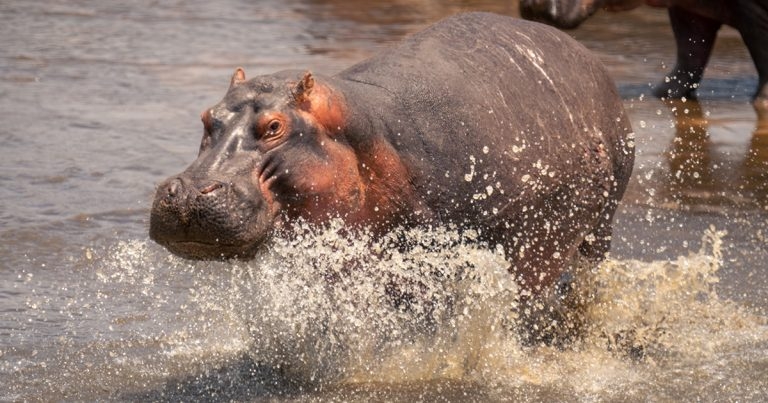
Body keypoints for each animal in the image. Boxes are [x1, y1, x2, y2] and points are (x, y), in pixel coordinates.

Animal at [149, 12, 634, 322]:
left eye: (274, 126)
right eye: (206, 117)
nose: (188, 191)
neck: (362, 128)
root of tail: (586, 55)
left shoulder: (438, 259)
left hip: (594, 228)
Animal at [519, 0, 768, 109]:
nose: (532, 3)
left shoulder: (755, 12)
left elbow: (762, 53)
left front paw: (761, 102)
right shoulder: (688, 9)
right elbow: (690, 51)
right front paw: (662, 94)